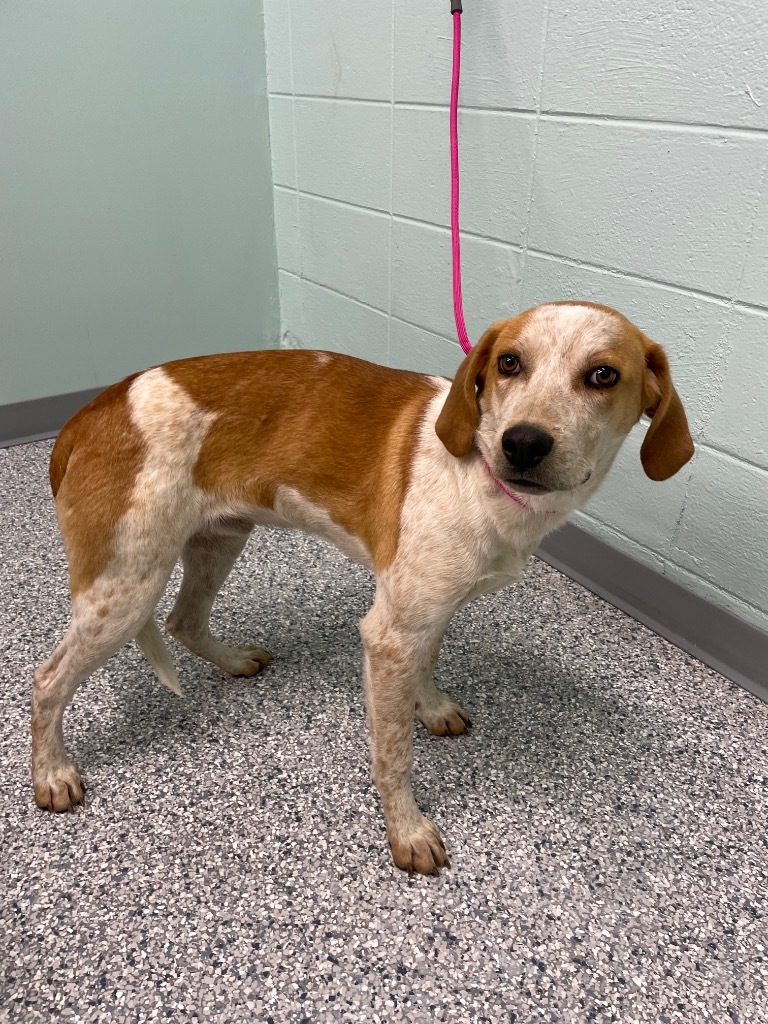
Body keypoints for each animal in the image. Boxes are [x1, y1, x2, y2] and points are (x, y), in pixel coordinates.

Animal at [30, 301, 696, 872]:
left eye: (603, 375)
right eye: (510, 362)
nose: (524, 442)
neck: (478, 472)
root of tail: (89, 413)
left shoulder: (424, 615)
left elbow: (426, 670)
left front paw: (431, 707)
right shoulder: (389, 634)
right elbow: (393, 754)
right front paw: (407, 832)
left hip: (219, 538)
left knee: (184, 621)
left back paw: (233, 660)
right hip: (124, 587)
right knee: (47, 680)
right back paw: (51, 774)